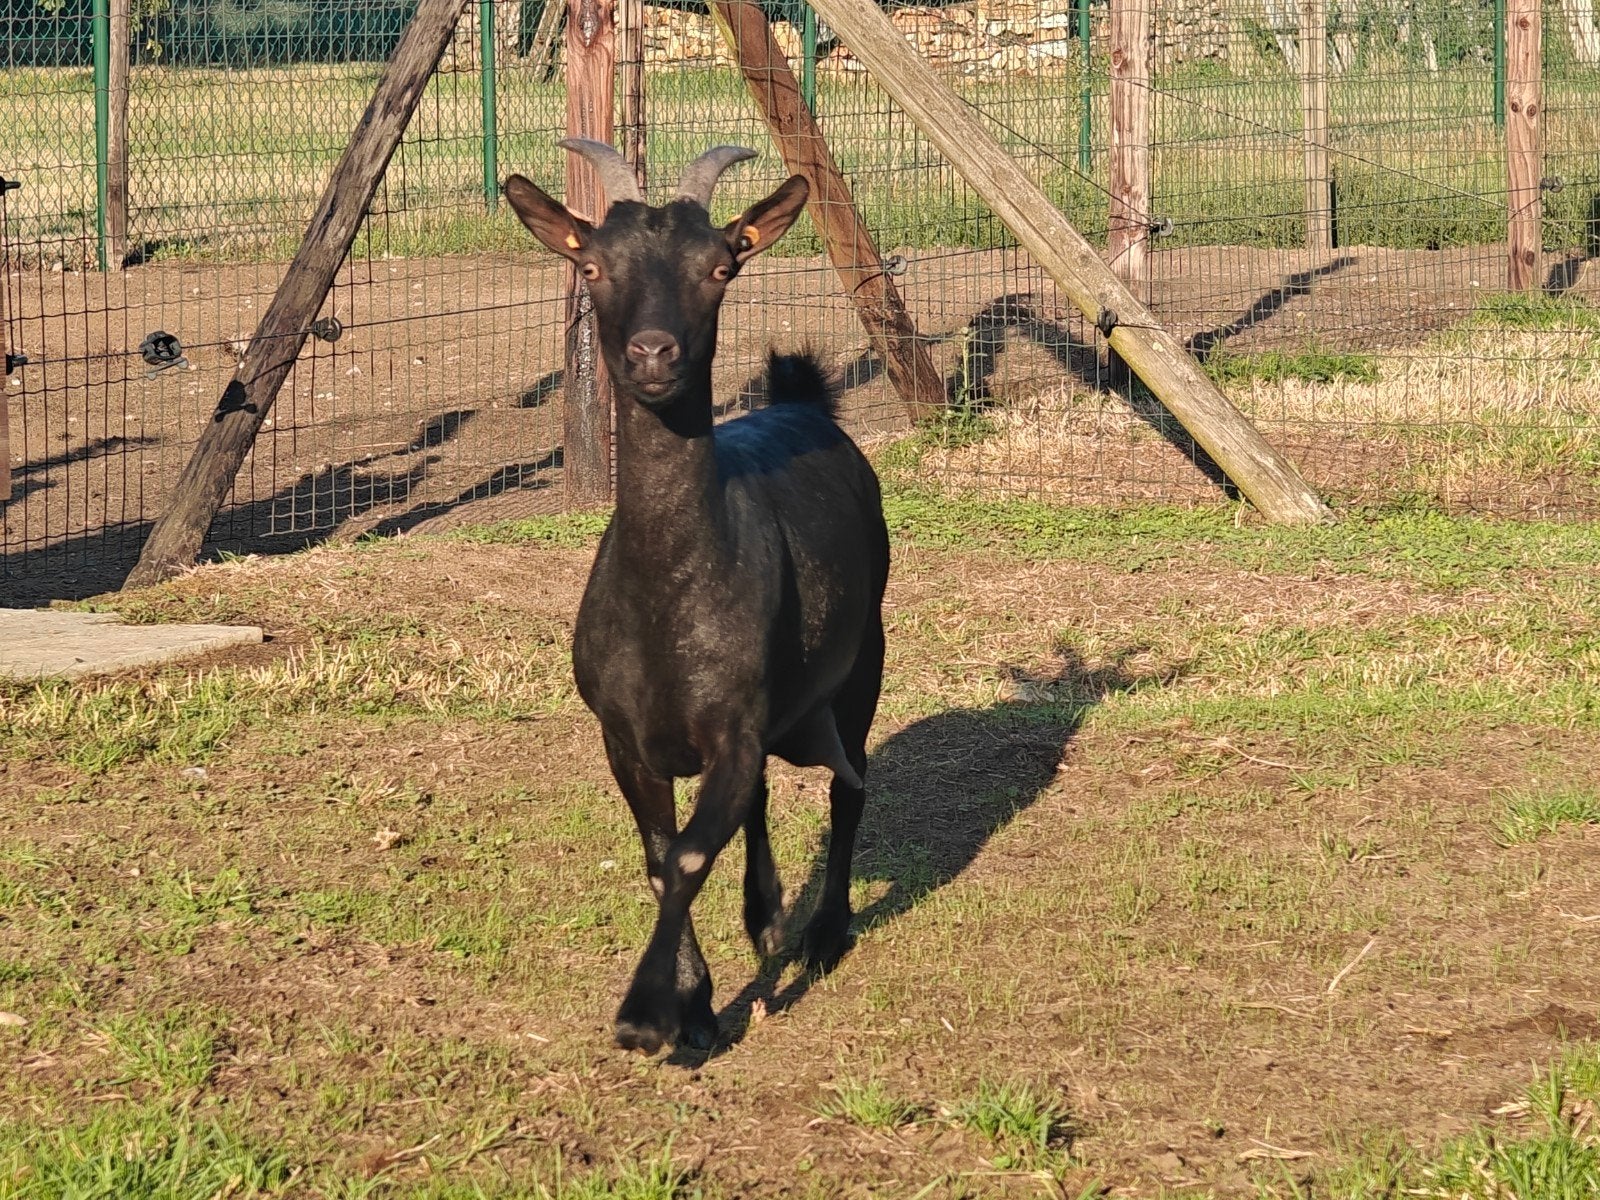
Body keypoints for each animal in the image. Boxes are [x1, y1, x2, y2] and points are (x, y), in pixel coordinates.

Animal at [503, 141, 889, 1054]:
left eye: (720, 266)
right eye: (592, 264)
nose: (653, 354)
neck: (667, 609)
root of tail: (805, 403)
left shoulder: (736, 723)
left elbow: (686, 855)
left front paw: (649, 1012)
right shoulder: (624, 736)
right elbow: (659, 856)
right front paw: (700, 1003)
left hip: (865, 653)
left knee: (849, 783)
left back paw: (823, 932)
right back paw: (767, 912)